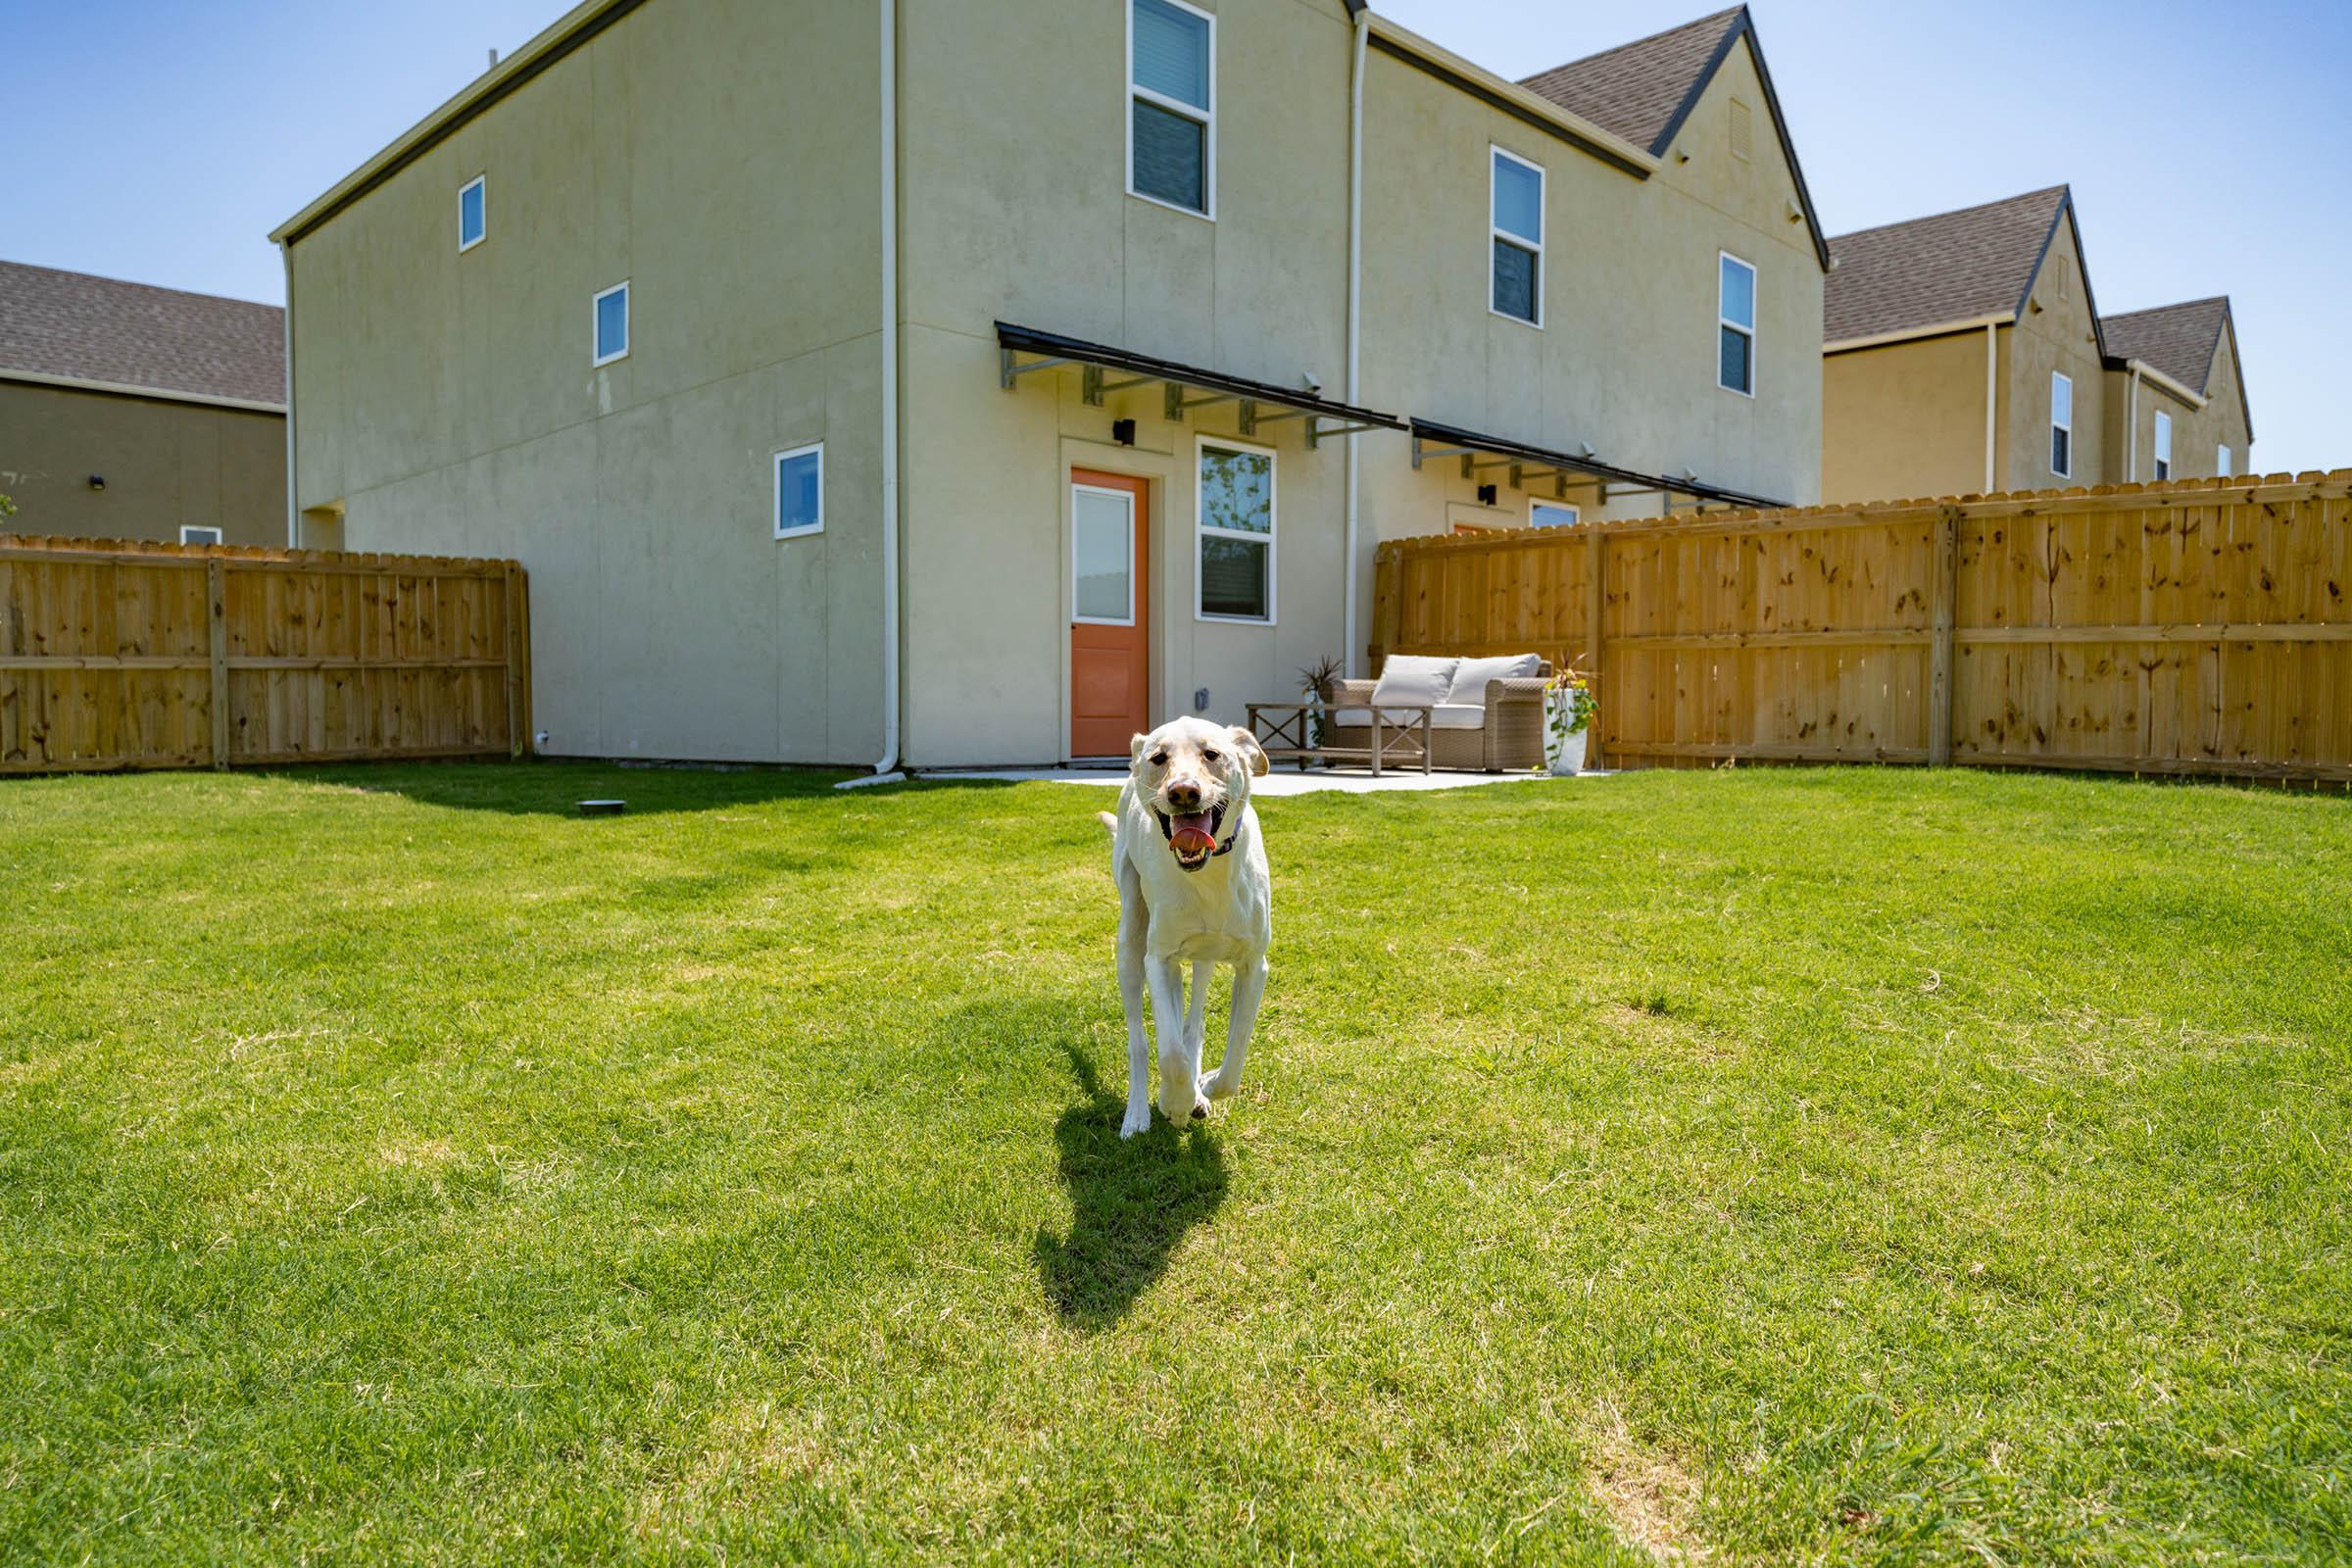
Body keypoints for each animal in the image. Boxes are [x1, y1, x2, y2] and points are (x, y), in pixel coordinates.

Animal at [1096, 719, 1270, 1133]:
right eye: (1159, 758)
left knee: (1193, 1024)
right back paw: (1138, 1113)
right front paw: (1174, 1103)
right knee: (1142, 1040)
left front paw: (1205, 1085)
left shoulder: (1255, 966)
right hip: (1131, 943)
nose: (1184, 792)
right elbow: (1171, 1053)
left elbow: (1235, 1055)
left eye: (1213, 754)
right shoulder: (1158, 960)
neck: (1208, 875)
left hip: (1203, 956)